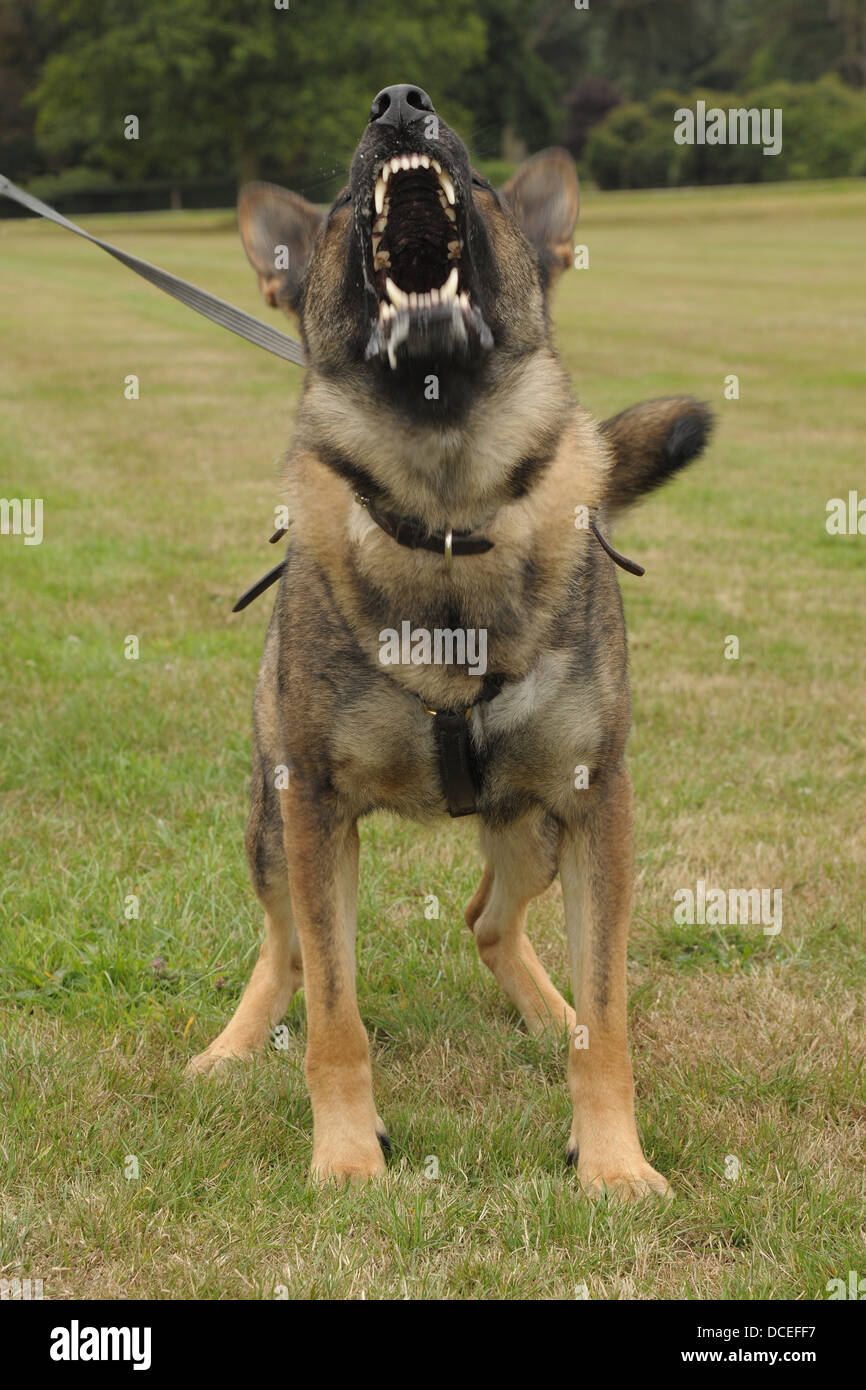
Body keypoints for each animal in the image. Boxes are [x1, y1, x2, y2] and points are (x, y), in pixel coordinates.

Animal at [187, 81, 711, 1200]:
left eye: (487, 193)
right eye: (344, 207)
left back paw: (548, 1011)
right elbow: (333, 1014)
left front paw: (612, 1161)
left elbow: (610, 1017)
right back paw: (233, 1046)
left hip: (532, 828)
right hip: (272, 826)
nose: (396, 102)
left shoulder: (597, 803)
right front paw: (347, 1154)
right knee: (286, 949)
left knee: (490, 920)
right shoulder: (316, 809)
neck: (446, 509)